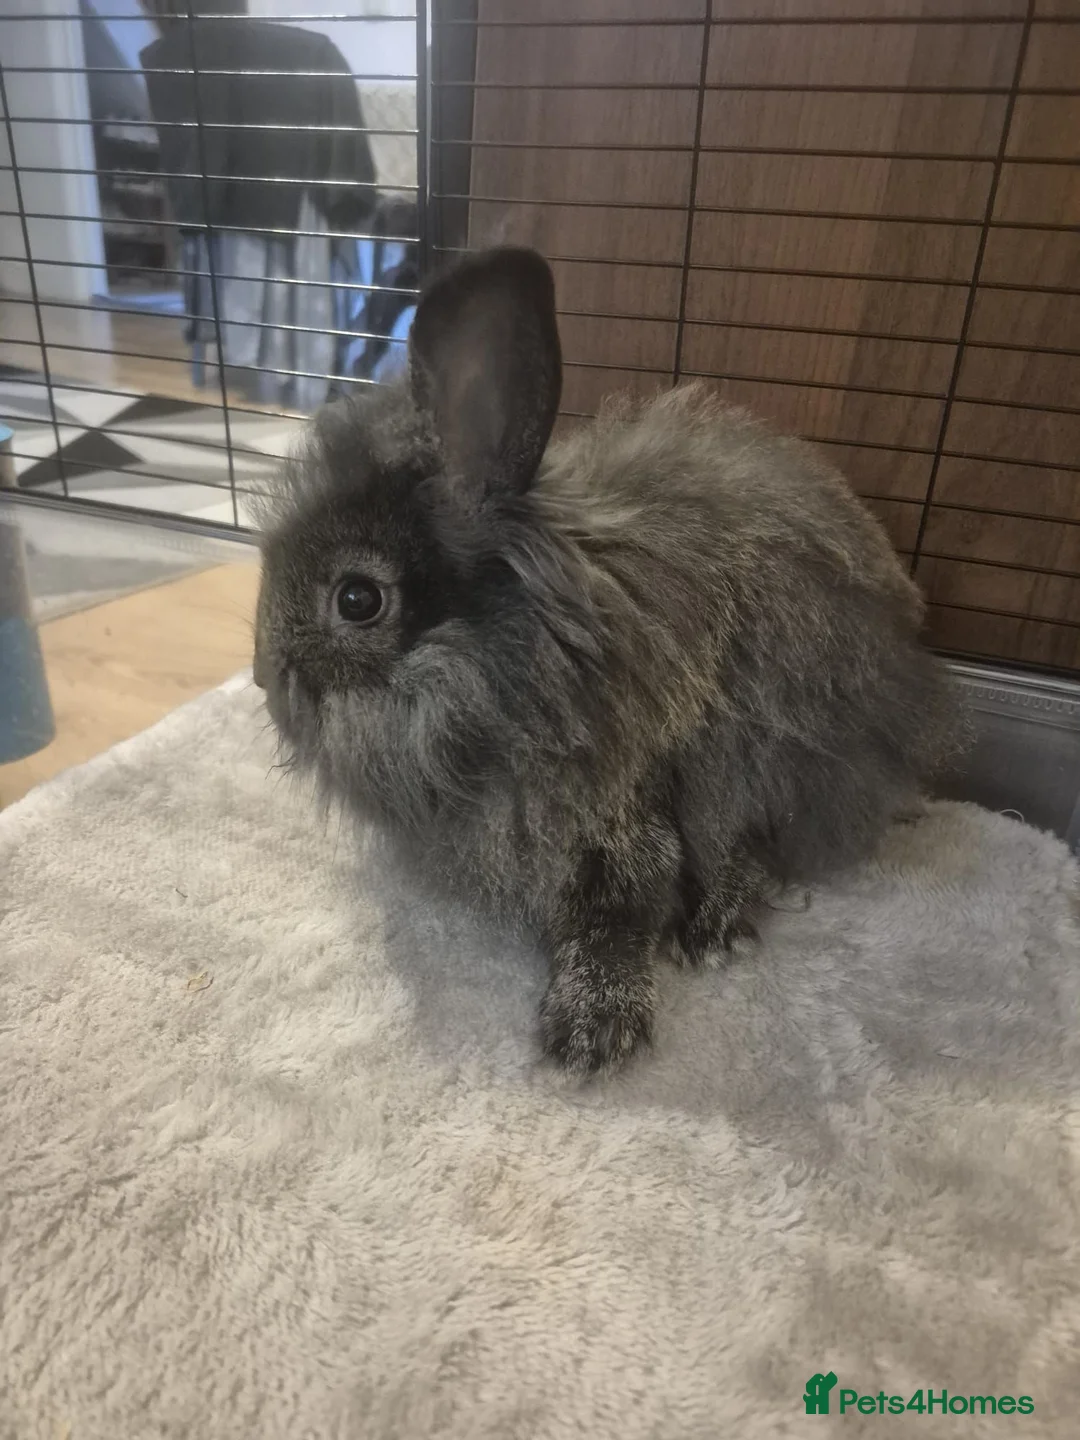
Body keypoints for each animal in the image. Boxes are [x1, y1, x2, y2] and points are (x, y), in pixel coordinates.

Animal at [253, 246, 966, 1076]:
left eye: (358, 599)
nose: (266, 677)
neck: (515, 664)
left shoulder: (619, 823)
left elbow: (615, 920)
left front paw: (592, 1033)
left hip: (775, 747)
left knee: (750, 842)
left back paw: (715, 931)